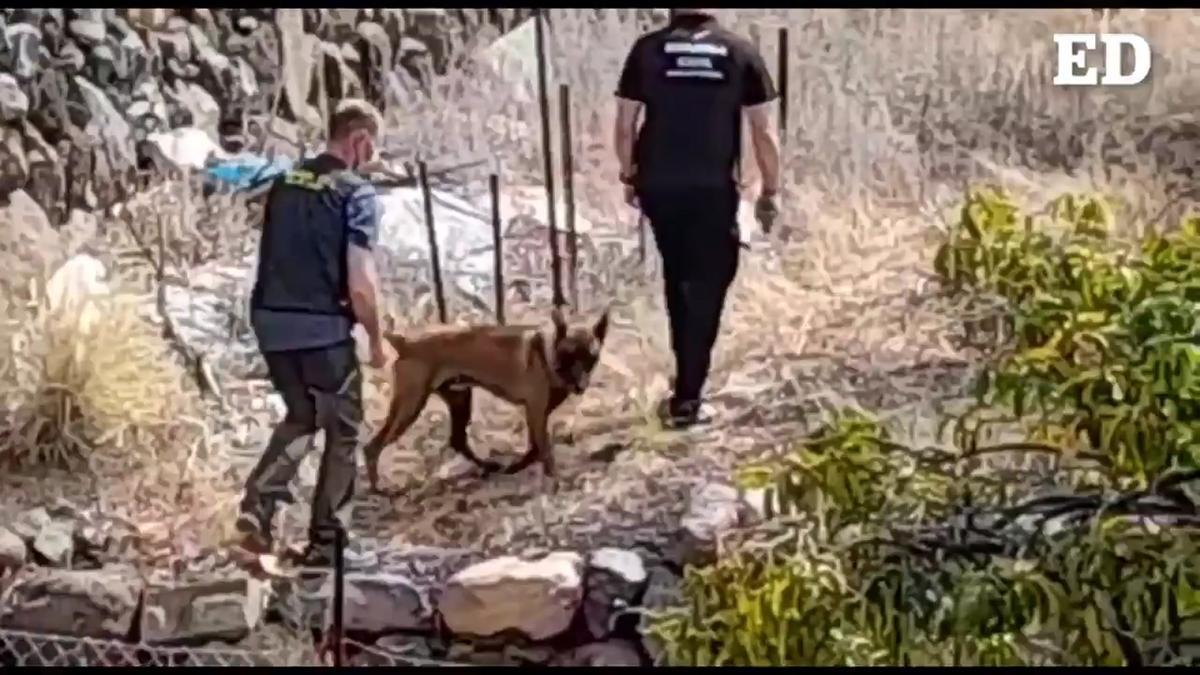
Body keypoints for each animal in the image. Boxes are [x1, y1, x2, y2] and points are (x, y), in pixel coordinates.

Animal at [362, 305, 609, 487]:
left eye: (591, 358)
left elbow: (535, 448)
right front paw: (555, 478)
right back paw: (380, 490)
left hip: (459, 400)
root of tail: (404, 342)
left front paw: (517, 467)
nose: (580, 386)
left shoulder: (536, 415)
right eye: (568, 356)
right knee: (373, 446)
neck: (547, 355)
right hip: (410, 406)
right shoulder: (536, 412)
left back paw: (487, 467)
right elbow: (544, 449)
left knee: (458, 441)